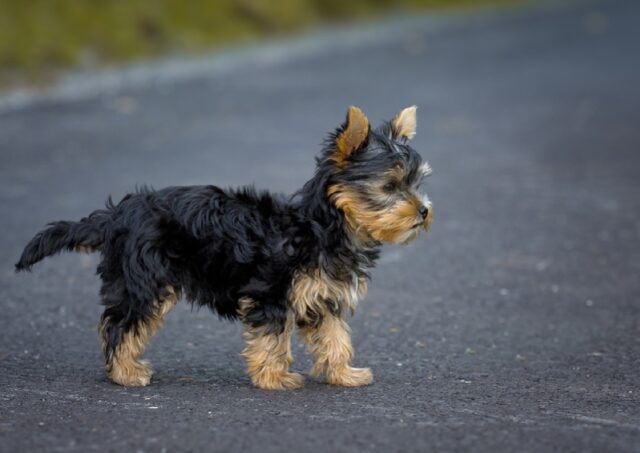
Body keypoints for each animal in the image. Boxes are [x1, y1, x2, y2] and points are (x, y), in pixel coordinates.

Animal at [16, 105, 436, 388]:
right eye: (389, 186)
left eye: (416, 183)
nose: (424, 211)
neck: (324, 226)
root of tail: (117, 215)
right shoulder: (272, 293)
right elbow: (273, 338)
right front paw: (275, 378)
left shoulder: (323, 296)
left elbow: (335, 337)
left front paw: (343, 373)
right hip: (145, 280)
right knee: (122, 324)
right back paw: (125, 373)